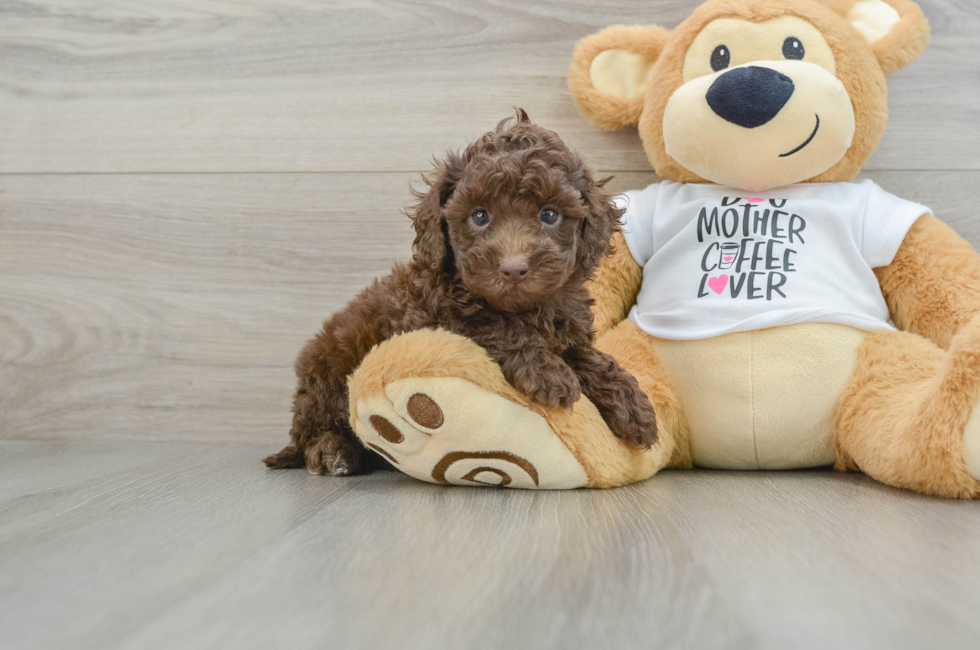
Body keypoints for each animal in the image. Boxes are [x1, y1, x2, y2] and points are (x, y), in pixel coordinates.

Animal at [264, 111, 660, 474]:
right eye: (479, 217)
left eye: (549, 215)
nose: (514, 268)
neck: (529, 308)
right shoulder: (436, 318)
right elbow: (496, 327)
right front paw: (548, 372)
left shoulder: (570, 328)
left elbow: (591, 358)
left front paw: (633, 405)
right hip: (329, 376)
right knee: (312, 433)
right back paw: (332, 453)